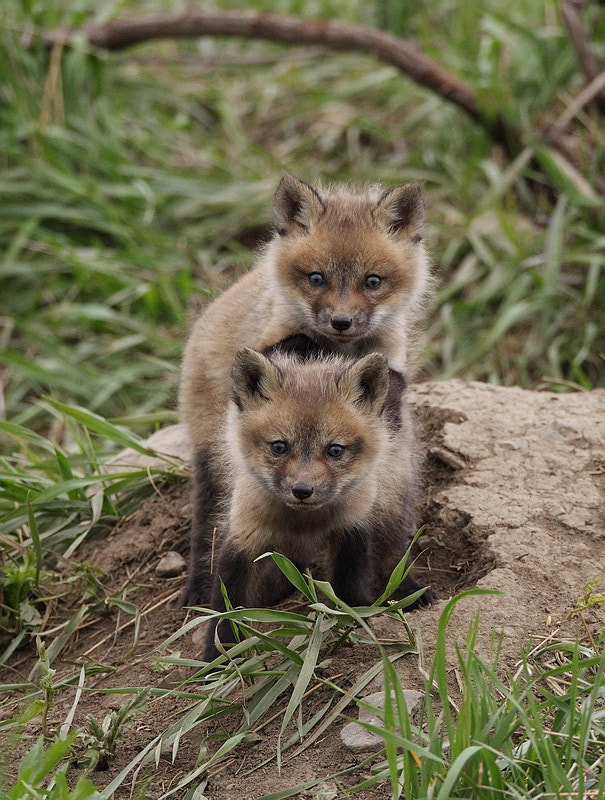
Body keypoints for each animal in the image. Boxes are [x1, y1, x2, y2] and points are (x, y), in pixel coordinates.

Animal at [180, 175, 430, 606]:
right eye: (316, 278)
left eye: (372, 281)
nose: (341, 322)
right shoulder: (274, 341)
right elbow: (292, 351)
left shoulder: (392, 364)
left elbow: (391, 387)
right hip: (212, 462)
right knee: (209, 529)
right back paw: (199, 590)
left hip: (394, 497)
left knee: (392, 543)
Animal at [201, 348, 432, 661]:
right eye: (279, 447)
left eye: (334, 450)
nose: (302, 490)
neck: (305, 522)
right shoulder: (244, 535)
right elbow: (225, 613)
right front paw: (217, 661)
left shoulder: (353, 529)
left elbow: (351, 586)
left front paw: (355, 622)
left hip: (391, 504)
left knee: (392, 553)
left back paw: (407, 590)